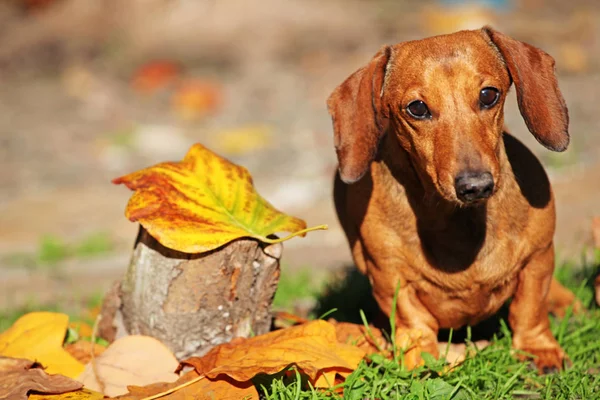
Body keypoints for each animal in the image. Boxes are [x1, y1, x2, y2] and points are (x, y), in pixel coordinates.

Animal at [328, 27, 580, 372]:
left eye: (488, 95)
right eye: (417, 108)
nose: (476, 186)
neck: (459, 223)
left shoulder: (538, 257)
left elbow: (529, 308)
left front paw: (538, 350)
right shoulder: (389, 274)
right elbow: (414, 320)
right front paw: (422, 359)